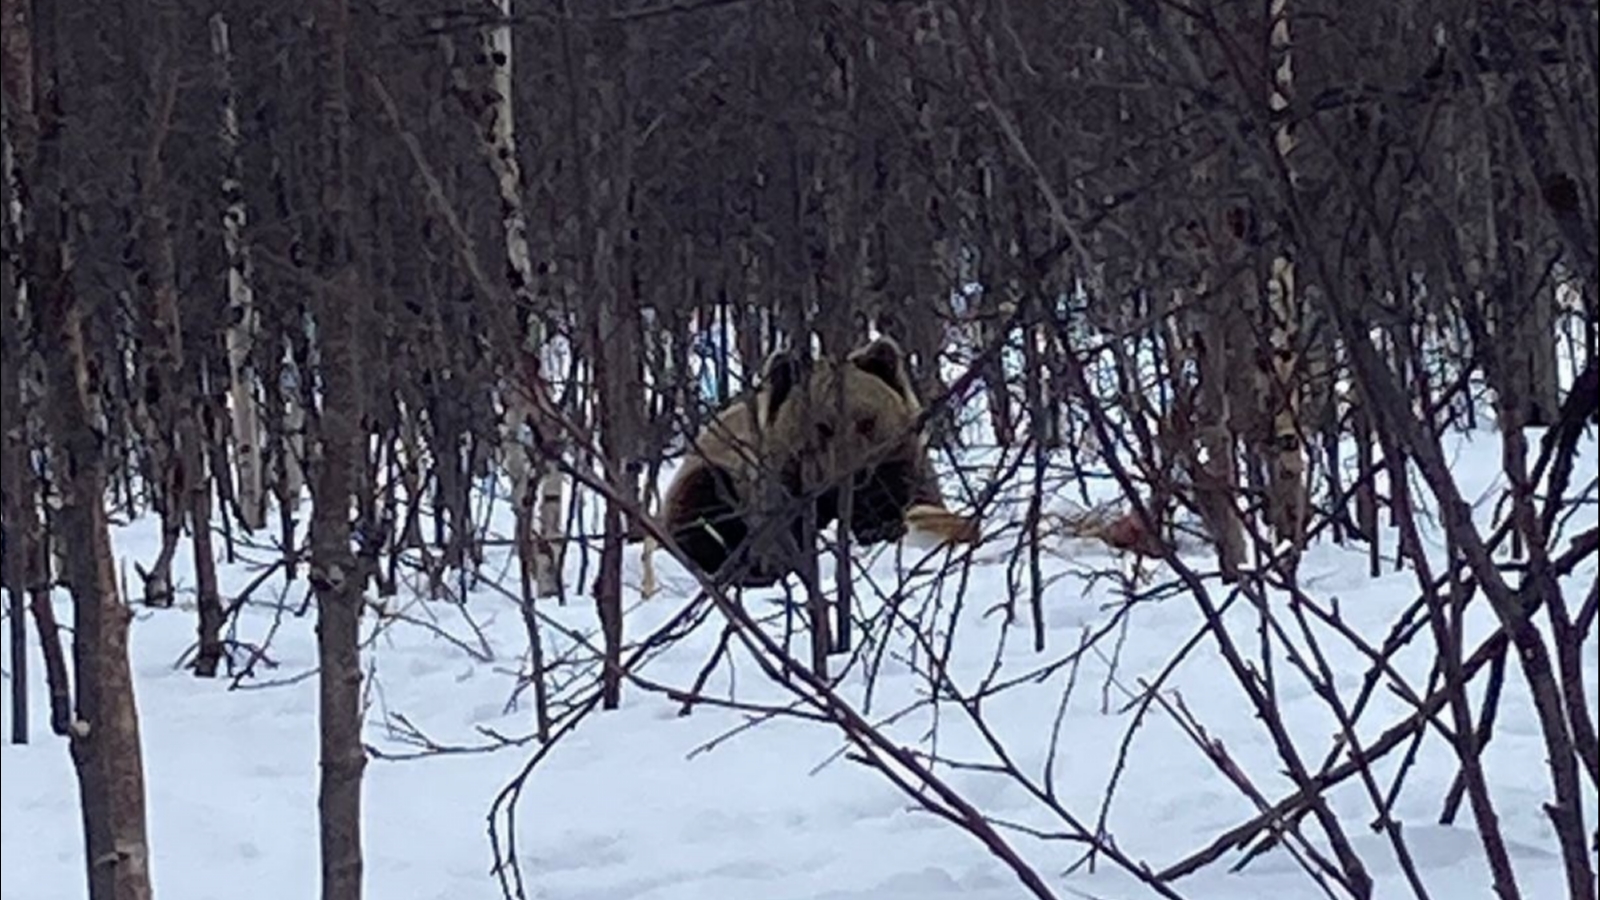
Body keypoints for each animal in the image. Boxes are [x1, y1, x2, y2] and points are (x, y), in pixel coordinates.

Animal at [649, 333, 972, 586]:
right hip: (706, 476)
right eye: (822, 426)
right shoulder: (777, 492)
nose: (855, 473)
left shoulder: (899, 470)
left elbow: (907, 504)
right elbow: (779, 544)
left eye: (867, 421)